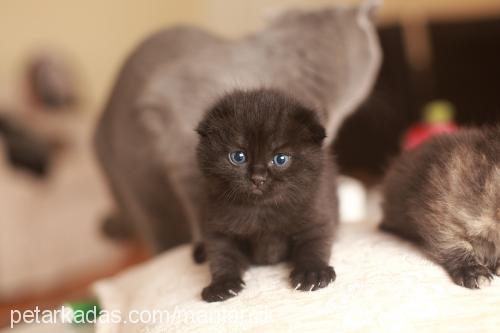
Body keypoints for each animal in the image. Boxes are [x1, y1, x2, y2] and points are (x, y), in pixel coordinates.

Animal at [195, 87, 336, 300]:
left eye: (280, 159)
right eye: (238, 156)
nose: (258, 178)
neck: (261, 210)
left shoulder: (316, 215)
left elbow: (313, 245)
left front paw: (312, 273)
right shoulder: (218, 226)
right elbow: (222, 256)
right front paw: (222, 284)